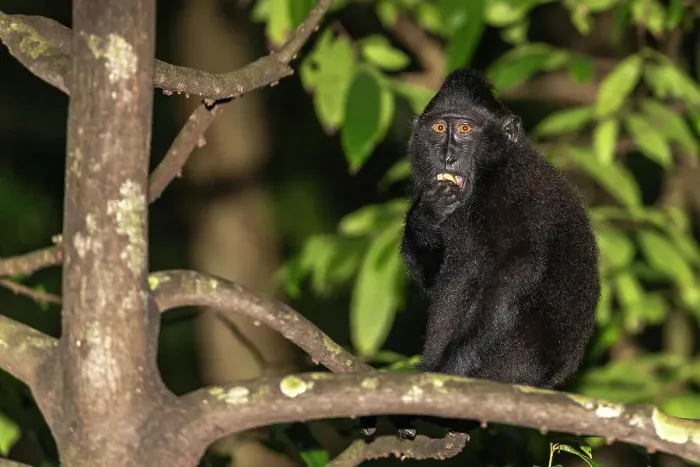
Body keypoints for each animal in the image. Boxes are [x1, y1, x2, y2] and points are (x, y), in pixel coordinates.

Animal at [386, 68, 600, 439]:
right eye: (439, 128)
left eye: (465, 129)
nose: (447, 156)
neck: (488, 176)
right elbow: (433, 277)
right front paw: (425, 218)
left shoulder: (515, 191)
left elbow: (513, 271)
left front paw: (453, 372)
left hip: (514, 360)